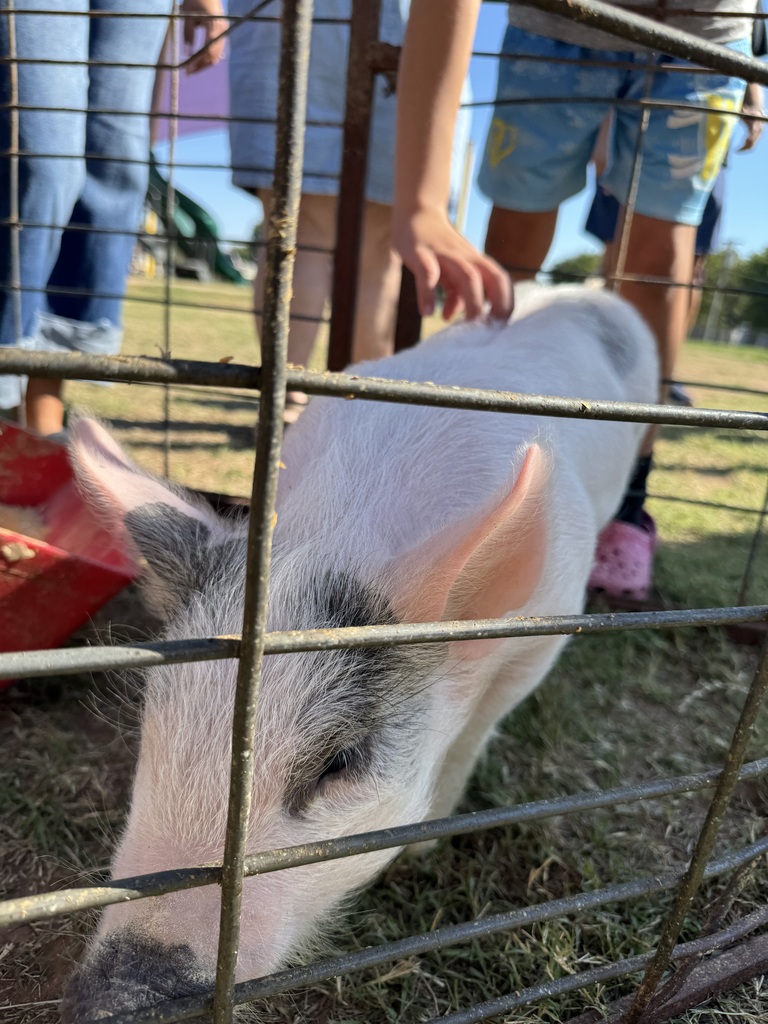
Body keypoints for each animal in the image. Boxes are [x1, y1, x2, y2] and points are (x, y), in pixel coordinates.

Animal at [61, 284, 658, 1021]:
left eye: (340, 763)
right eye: (152, 725)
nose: (114, 1001)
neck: (341, 531)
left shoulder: (542, 637)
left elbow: (475, 734)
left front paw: (425, 843)